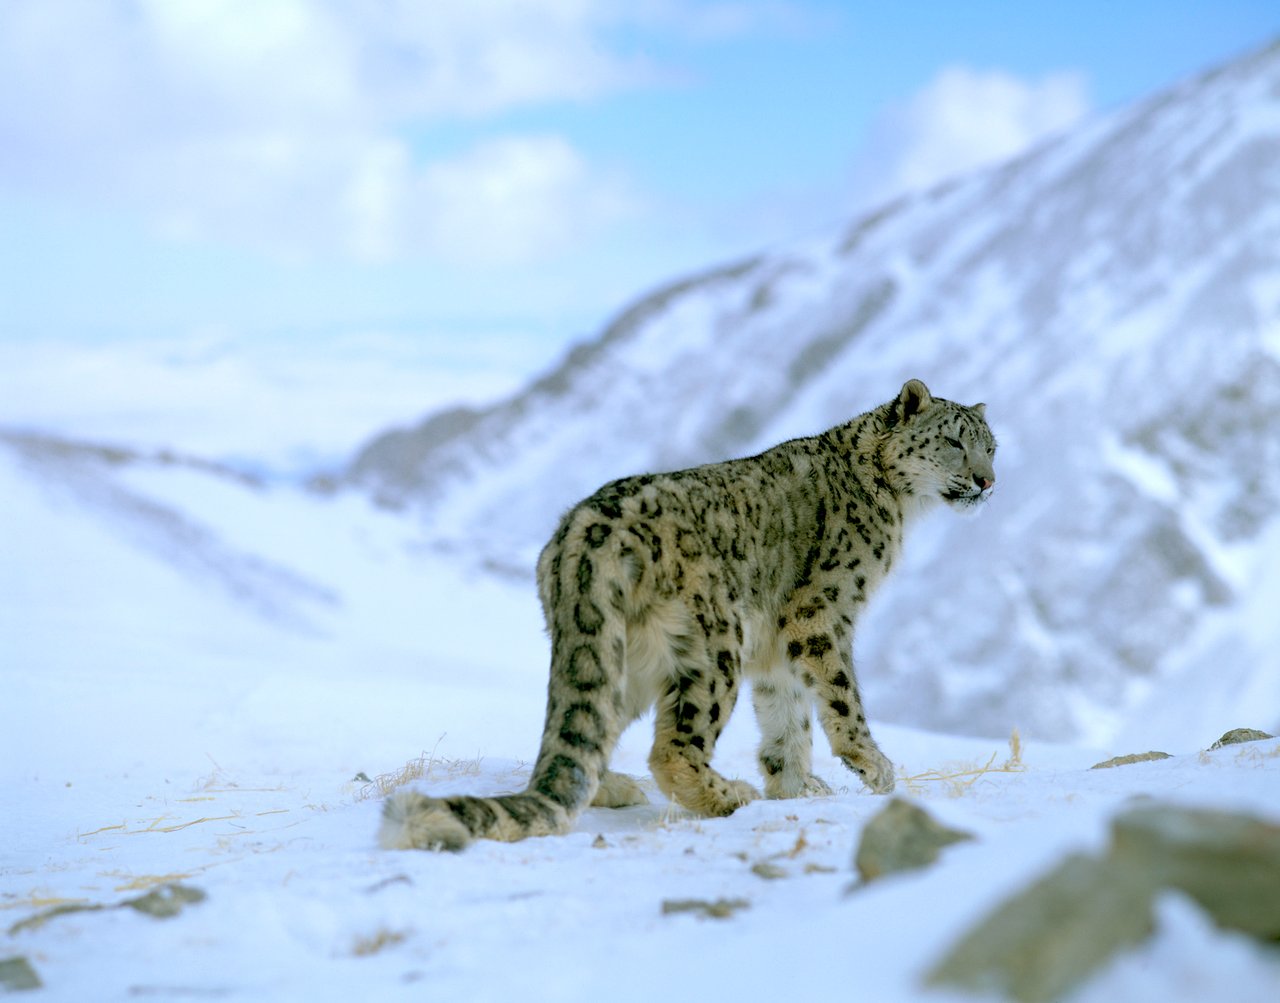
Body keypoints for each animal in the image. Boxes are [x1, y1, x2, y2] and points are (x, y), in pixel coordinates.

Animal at [380, 378, 996, 850]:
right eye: (953, 442)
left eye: (991, 447)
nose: (988, 481)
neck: (898, 507)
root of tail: (582, 535)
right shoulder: (822, 615)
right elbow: (841, 696)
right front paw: (875, 769)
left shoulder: (776, 643)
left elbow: (786, 713)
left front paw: (797, 785)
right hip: (714, 644)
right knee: (673, 748)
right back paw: (727, 795)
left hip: (621, 654)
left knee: (589, 730)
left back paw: (615, 787)